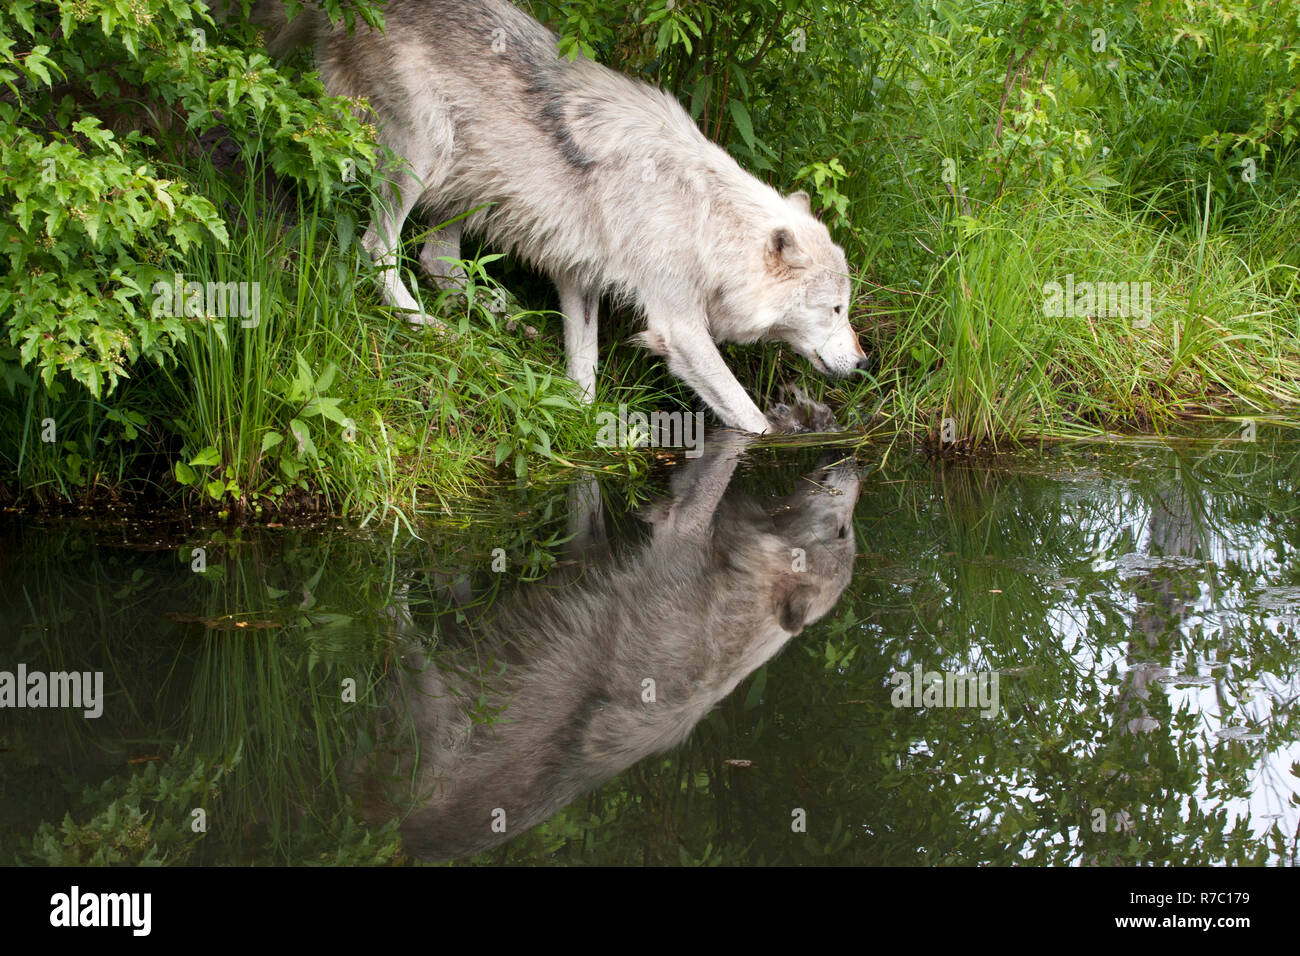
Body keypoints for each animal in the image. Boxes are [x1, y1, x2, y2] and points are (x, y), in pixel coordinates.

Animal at [245, 0, 873, 434]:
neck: (701, 216)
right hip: (424, 153)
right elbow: (747, 415)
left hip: (471, 180)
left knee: (437, 260)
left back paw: (499, 318)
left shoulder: (579, 275)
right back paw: (429, 325)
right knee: (379, 250)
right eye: (836, 309)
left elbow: (585, 368)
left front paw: (579, 415)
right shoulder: (677, 326)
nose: (865, 365)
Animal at [361, 429, 857, 863]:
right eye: (845, 532)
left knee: (398, 619)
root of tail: (405, 840)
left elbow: (710, 481)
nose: (855, 462)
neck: (740, 604)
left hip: (428, 692)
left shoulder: (682, 532)